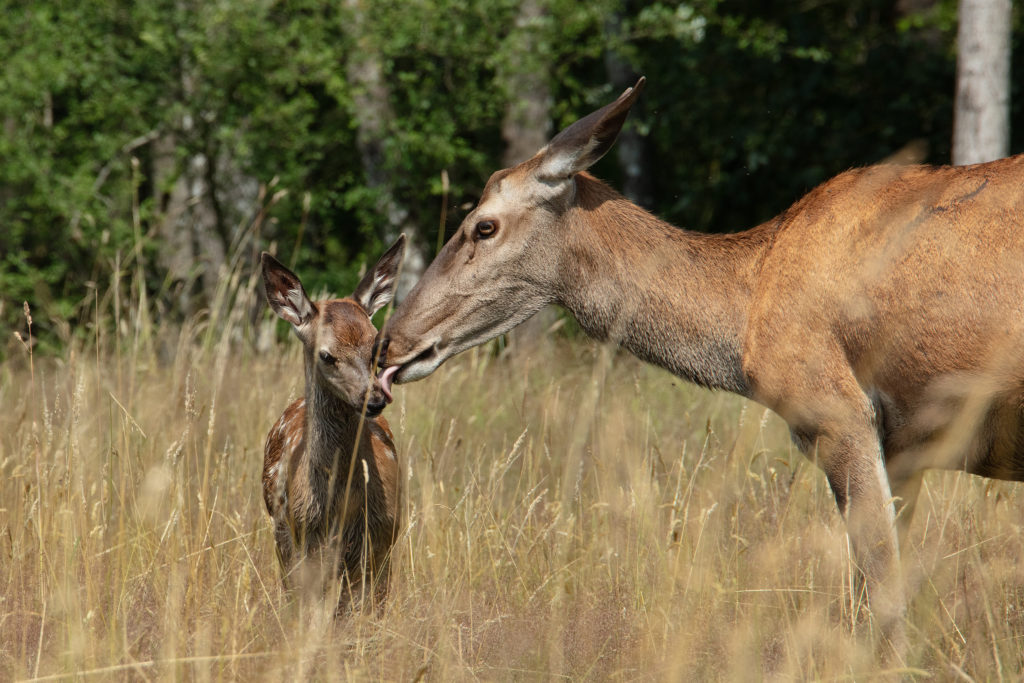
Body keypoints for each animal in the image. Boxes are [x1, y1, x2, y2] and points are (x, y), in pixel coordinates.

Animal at [260, 237, 403, 610]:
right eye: (326, 355)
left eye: (376, 346)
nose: (375, 399)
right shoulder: (304, 542)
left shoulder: (381, 542)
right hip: (281, 534)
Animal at [376, 77, 1024, 651]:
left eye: (482, 226)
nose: (391, 344)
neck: (746, 311)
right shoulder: (905, 449)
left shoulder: (837, 411)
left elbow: (881, 581)